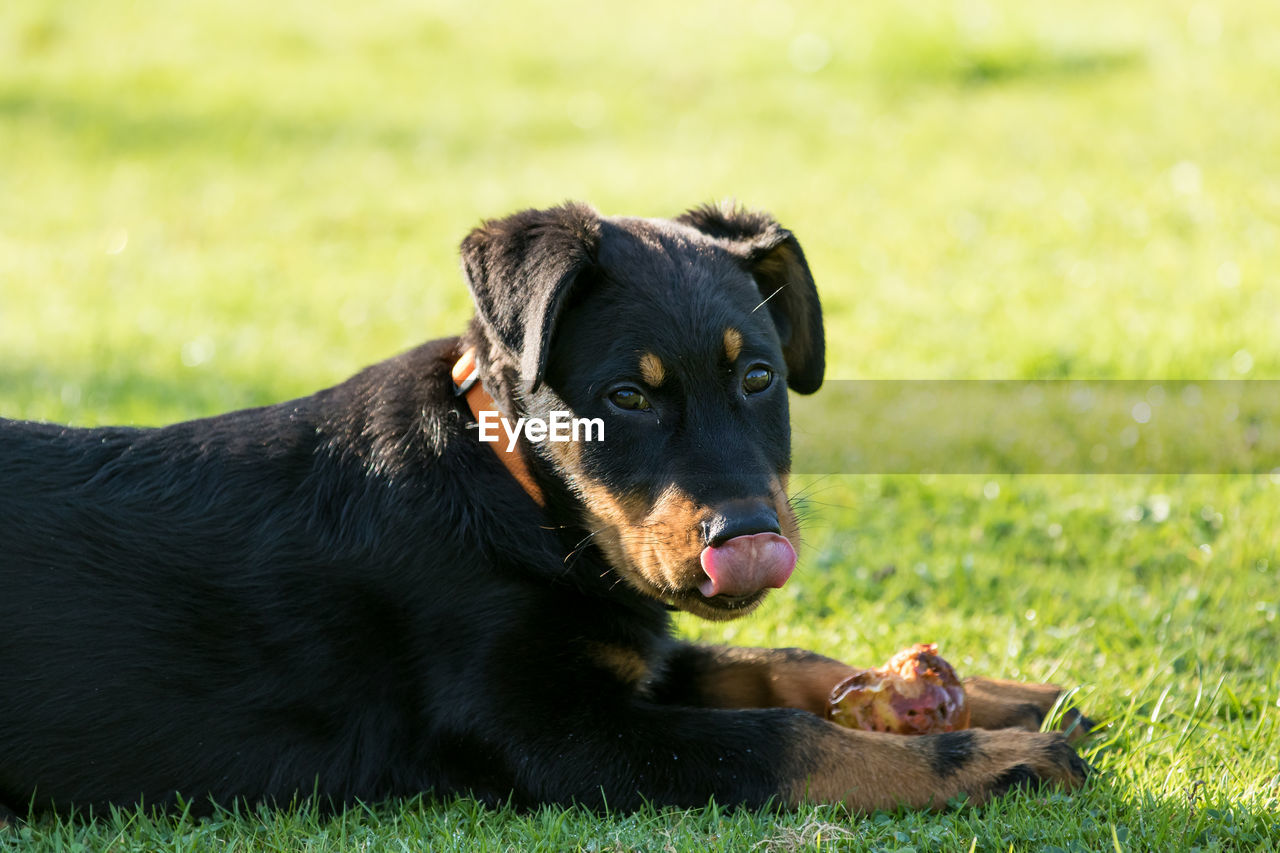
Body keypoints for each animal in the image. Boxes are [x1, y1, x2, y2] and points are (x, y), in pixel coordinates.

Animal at [0, 201, 1090, 819]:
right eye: (627, 396)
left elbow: (779, 662)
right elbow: (785, 740)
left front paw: (1002, 694)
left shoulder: (625, 649)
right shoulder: (553, 730)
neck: (522, 500)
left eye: (760, 379)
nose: (750, 540)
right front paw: (999, 759)